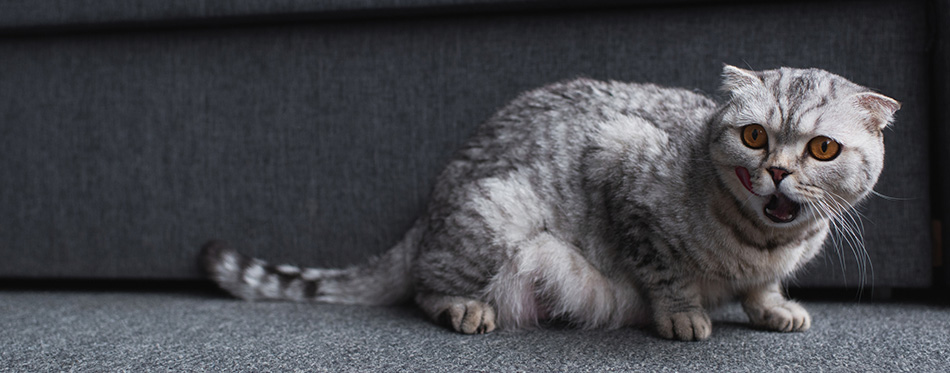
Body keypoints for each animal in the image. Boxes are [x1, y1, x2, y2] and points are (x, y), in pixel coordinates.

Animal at [199, 64, 900, 340]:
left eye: (822, 149)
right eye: (755, 136)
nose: (776, 172)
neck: (763, 242)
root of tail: (427, 212)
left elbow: (762, 289)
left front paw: (774, 308)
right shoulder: (621, 167)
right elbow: (665, 272)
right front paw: (682, 316)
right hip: (495, 214)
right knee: (425, 285)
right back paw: (464, 308)